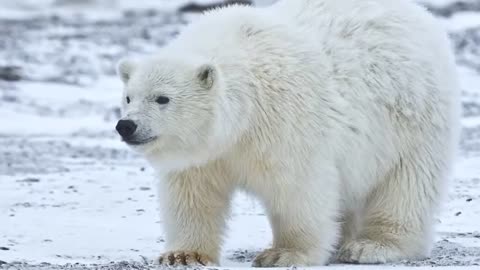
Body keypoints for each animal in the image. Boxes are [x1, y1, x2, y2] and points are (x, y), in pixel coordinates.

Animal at [114, 0, 460, 266]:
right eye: (129, 97)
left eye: (162, 98)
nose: (126, 125)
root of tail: (419, 14)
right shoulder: (203, 155)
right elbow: (192, 195)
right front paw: (183, 255)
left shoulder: (284, 121)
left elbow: (298, 188)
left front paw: (284, 253)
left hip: (411, 118)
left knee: (406, 184)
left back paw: (371, 246)